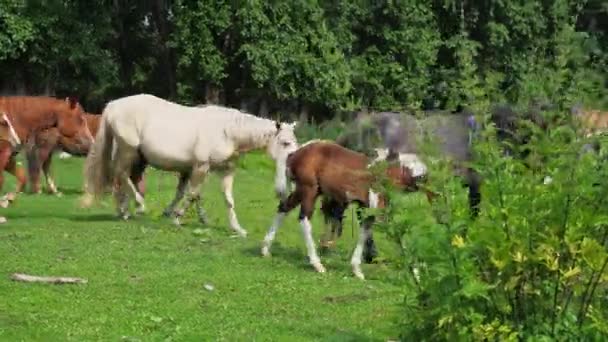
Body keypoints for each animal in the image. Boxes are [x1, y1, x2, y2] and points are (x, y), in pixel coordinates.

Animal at [82, 95, 298, 236]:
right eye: (285, 143)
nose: (295, 159)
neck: (227, 131)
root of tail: (112, 106)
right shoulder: (201, 167)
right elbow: (193, 194)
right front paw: (177, 217)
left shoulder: (224, 171)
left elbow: (225, 199)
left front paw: (237, 228)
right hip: (128, 151)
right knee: (121, 174)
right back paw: (138, 206)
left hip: (139, 159)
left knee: (127, 179)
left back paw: (125, 211)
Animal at [262, 140, 414, 280]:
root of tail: (295, 152)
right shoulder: (377, 206)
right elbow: (396, 235)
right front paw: (415, 272)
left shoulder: (366, 207)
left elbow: (366, 231)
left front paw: (357, 269)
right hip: (308, 190)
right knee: (304, 219)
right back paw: (317, 264)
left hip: (306, 191)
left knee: (283, 208)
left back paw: (265, 250)